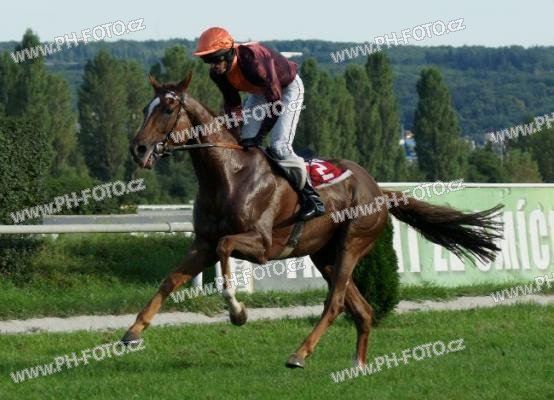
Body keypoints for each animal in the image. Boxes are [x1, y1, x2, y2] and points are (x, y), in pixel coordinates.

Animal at [125, 73, 503, 368]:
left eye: (168, 108)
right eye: (145, 109)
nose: (139, 149)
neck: (229, 174)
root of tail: (379, 190)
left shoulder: (261, 245)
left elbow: (225, 247)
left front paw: (237, 311)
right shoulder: (202, 242)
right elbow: (171, 279)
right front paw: (132, 332)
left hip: (353, 243)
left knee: (335, 303)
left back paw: (300, 354)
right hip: (324, 254)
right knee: (362, 309)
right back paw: (358, 365)